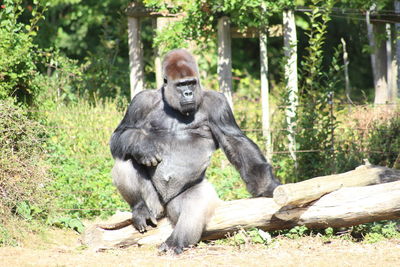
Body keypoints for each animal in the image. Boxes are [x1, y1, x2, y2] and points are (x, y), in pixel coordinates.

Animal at [109, 48, 278, 255]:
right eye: (181, 85)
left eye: (191, 83)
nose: (188, 93)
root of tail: (164, 209)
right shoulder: (141, 101)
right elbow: (120, 134)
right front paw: (143, 146)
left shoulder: (218, 104)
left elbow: (236, 143)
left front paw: (267, 187)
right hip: (155, 206)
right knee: (125, 159)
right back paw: (140, 208)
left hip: (176, 204)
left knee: (196, 202)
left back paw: (176, 241)